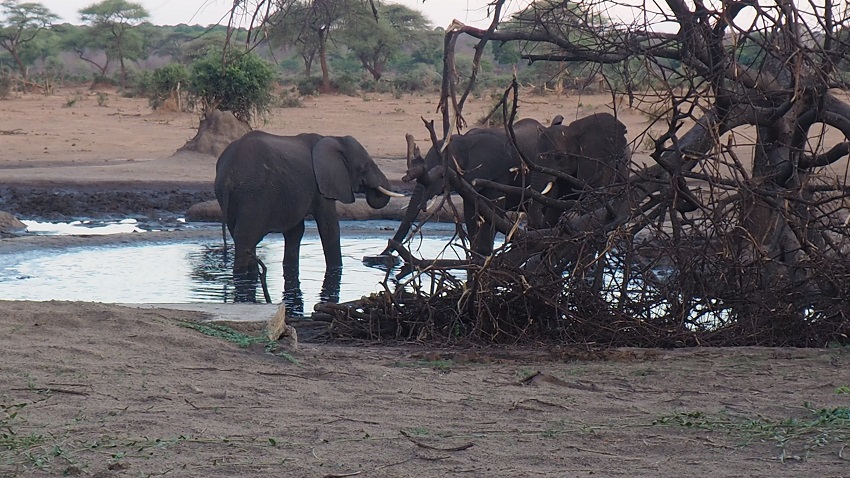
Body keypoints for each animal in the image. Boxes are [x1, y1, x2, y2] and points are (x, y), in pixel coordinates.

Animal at [215, 130, 402, 304]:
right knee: (246, 238)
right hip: (254, 194)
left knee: (243, 238)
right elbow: (329, 228)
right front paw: (338, 268)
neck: (334, 138)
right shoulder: (321, 184)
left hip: (232, 198)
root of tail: (229, 175)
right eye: (366, 165)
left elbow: (295, 232)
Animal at [384, 112, 628, 257]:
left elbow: (492, 210)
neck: (464, 141)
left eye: (440, 175)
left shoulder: (497, 172)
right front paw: (477, 257)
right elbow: (472, 214)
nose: (383, 254)